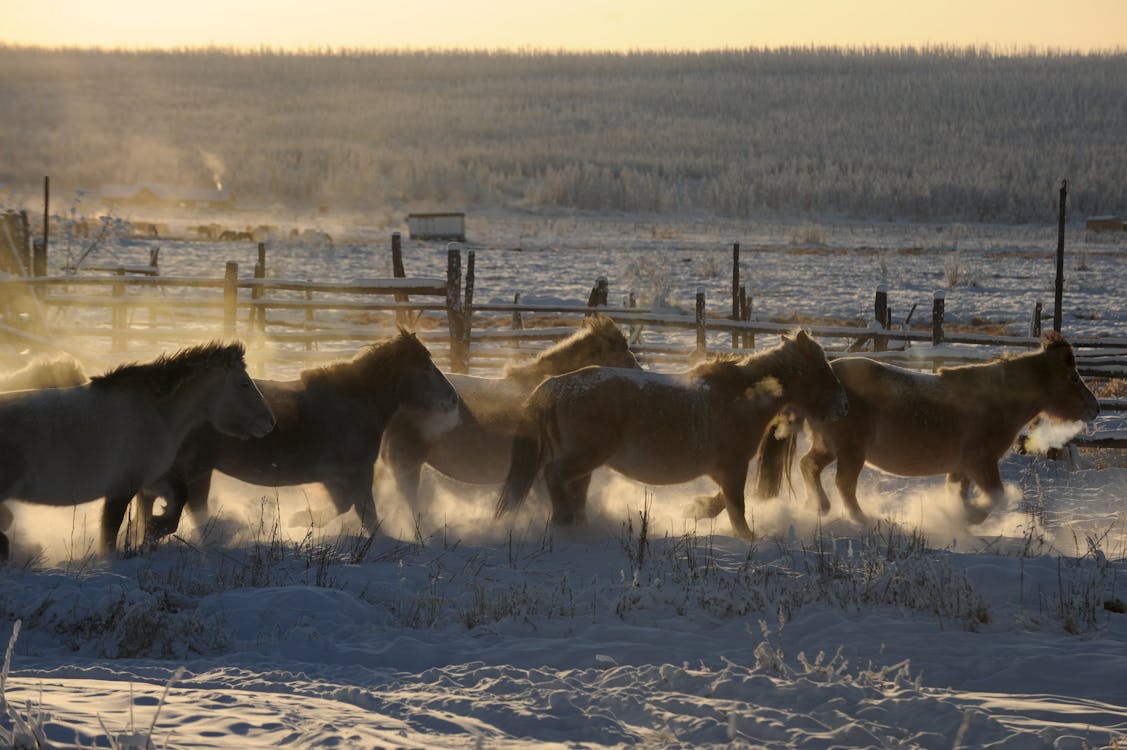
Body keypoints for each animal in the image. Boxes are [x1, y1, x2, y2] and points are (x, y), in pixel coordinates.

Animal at [1, 342, 274, 559]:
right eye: (244, 384)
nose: (269, 422)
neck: (155, 413)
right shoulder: (122, 489)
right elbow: (110, 536)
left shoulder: (148, 482)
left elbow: (177, 499)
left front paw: (153, 529)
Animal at [134, 333, 459, 543]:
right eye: (427, 367)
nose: (452, 398)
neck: (356, 401)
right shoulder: (356, 472)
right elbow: (365, 512)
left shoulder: (335, 477)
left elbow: (344, 506)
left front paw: (299, 519)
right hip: (197, 469)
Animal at [493, 331, 847, 539]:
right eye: (821, 369)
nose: (841, 407)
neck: (741, 396)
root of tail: (556, 385)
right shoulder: (733, 466)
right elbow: (736, 506)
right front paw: (747, 538)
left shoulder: (723, 469)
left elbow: (723, 501)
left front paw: (697, 509)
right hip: (584, 457)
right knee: (553, 475)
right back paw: (564, 519)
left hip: (586, 464)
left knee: (573, 489)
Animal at [752, 333, 1095, 525]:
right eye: (1073, 377)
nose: (1095, 407)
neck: (996, 399)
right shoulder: (981, 462)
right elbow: (995, 496)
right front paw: (973, 518)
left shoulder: (962, 468)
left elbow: (958, 493)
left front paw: (959, 517)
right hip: (851, 452)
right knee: (844, 485)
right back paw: (861, 519)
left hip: (829, 448)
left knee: (808, 466)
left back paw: (818, 507)